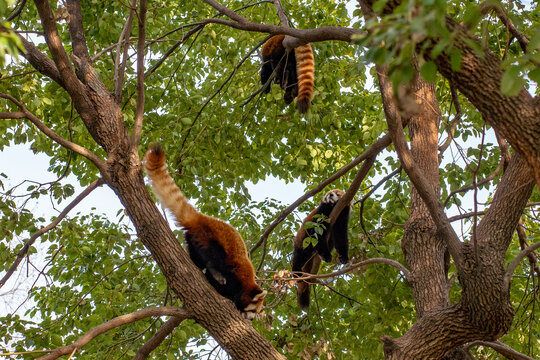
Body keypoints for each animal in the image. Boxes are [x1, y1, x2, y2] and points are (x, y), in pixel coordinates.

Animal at [143, 145, 266, 320]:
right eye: (255, 310)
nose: (251, 319)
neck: (244, 284)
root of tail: (200, 218)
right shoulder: (235, 274)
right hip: (209, 238)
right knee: (213, 257)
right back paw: (215, 273)